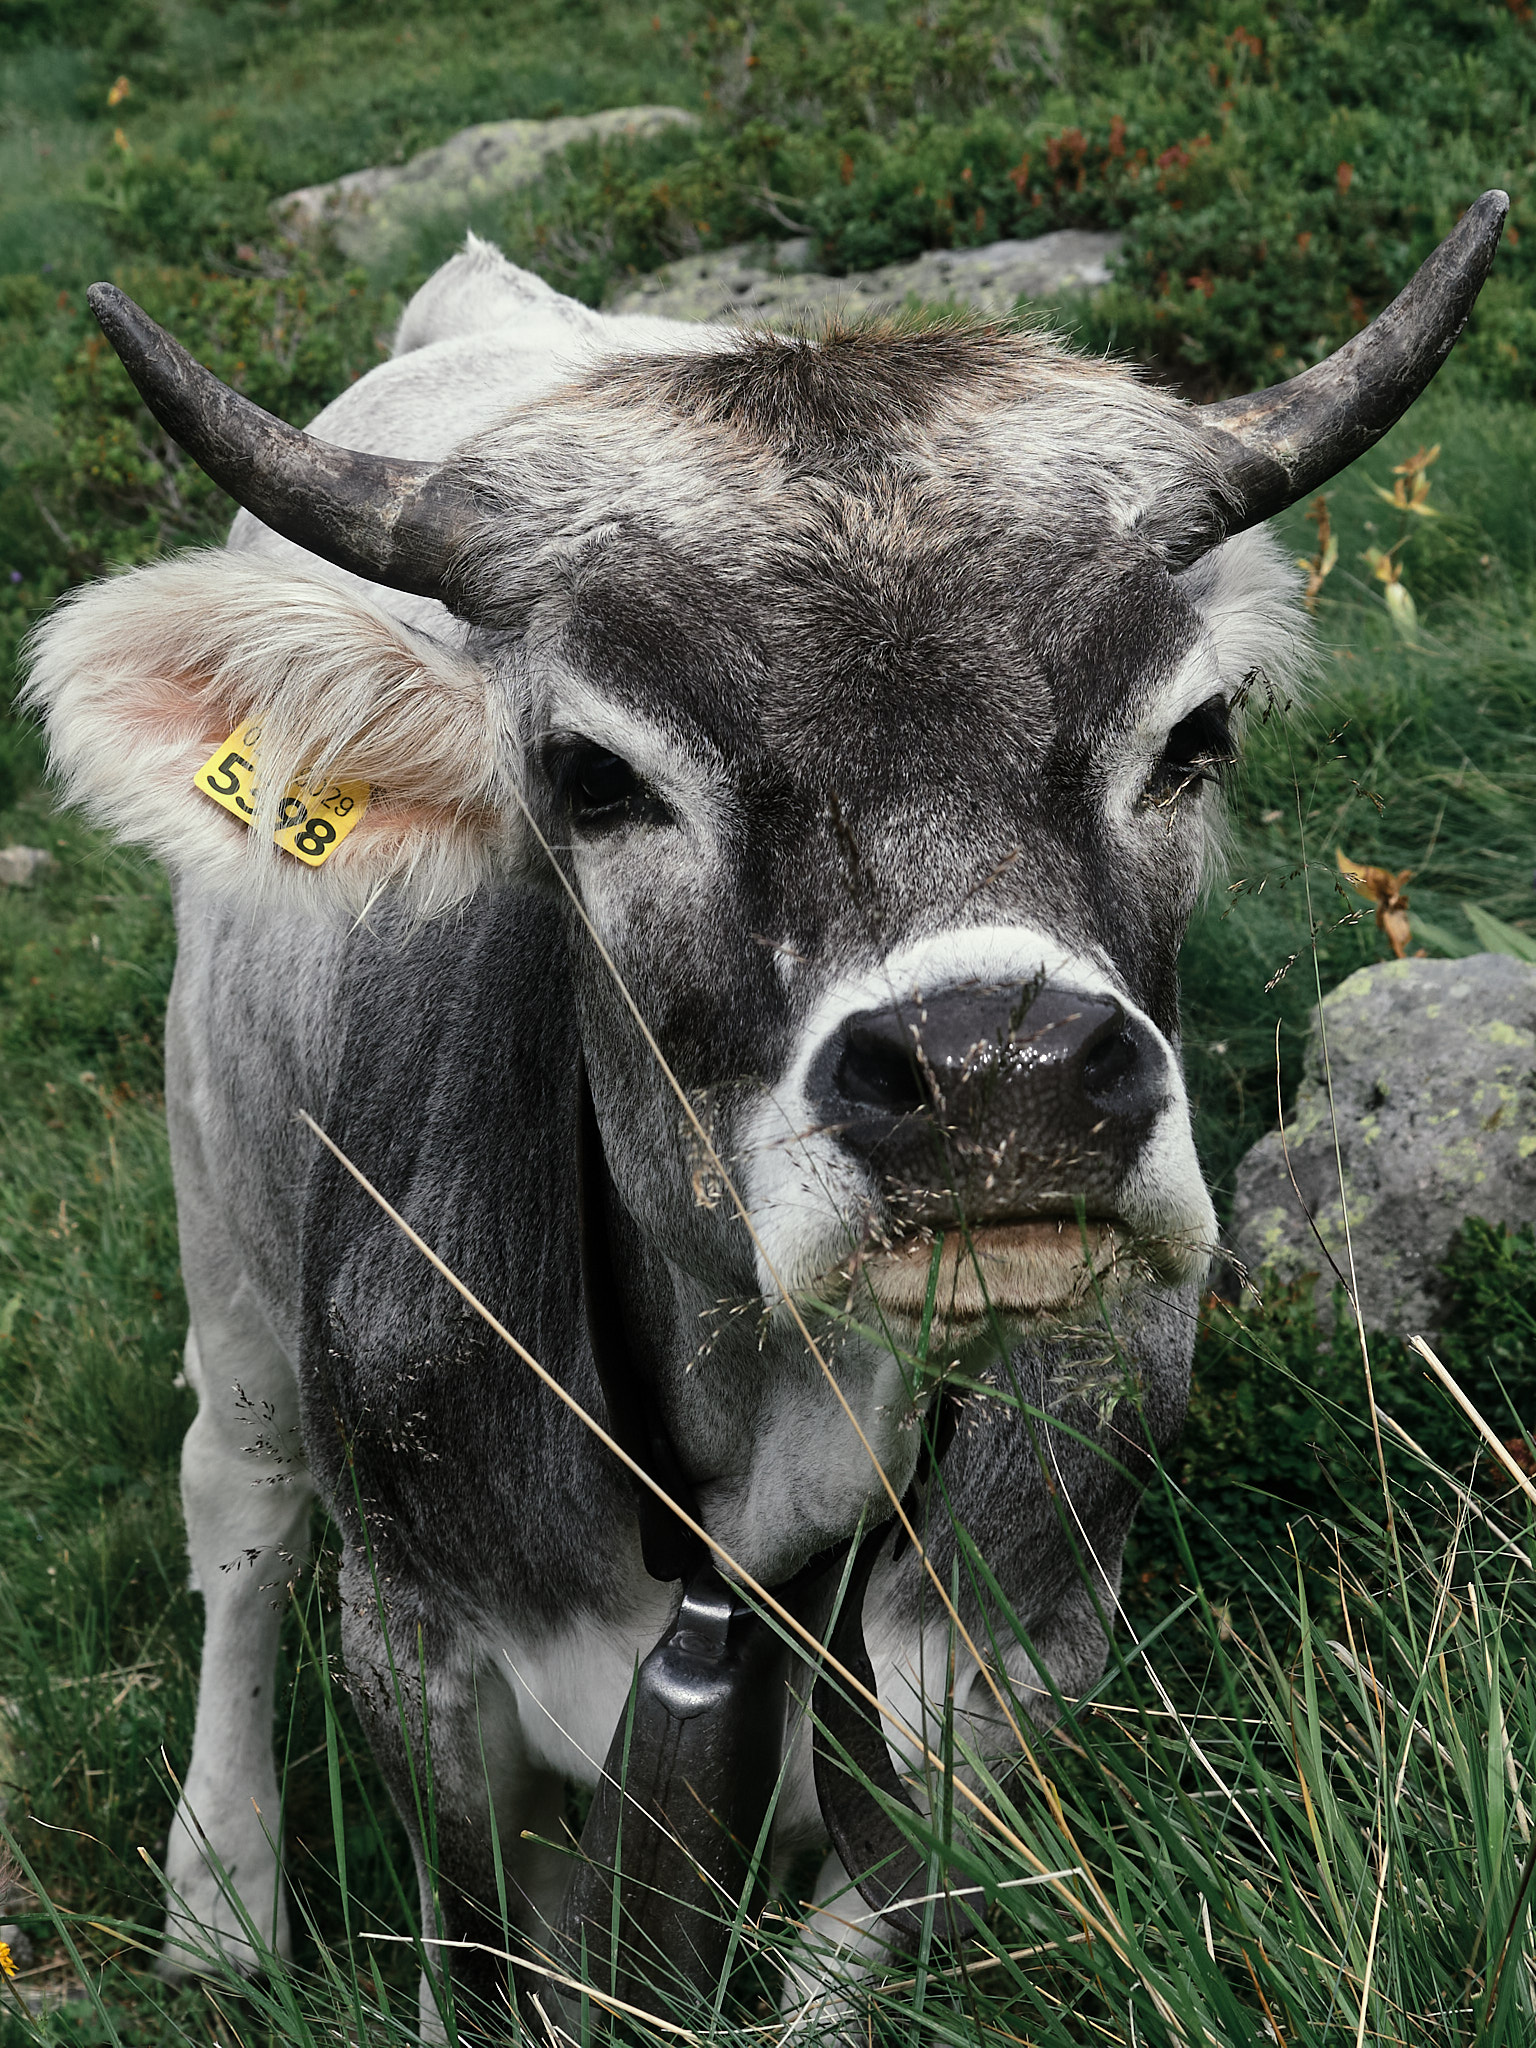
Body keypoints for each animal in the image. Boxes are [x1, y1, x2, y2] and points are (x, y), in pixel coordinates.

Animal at [25, 192, 1505, 2031]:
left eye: (1193, 733)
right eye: (592, 776)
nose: (1000, 1070)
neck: (765, 1470)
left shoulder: (1001, 1696)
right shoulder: (418, 1659)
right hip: (221, 1188)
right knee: (235, 1507)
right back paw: (217, 1899)